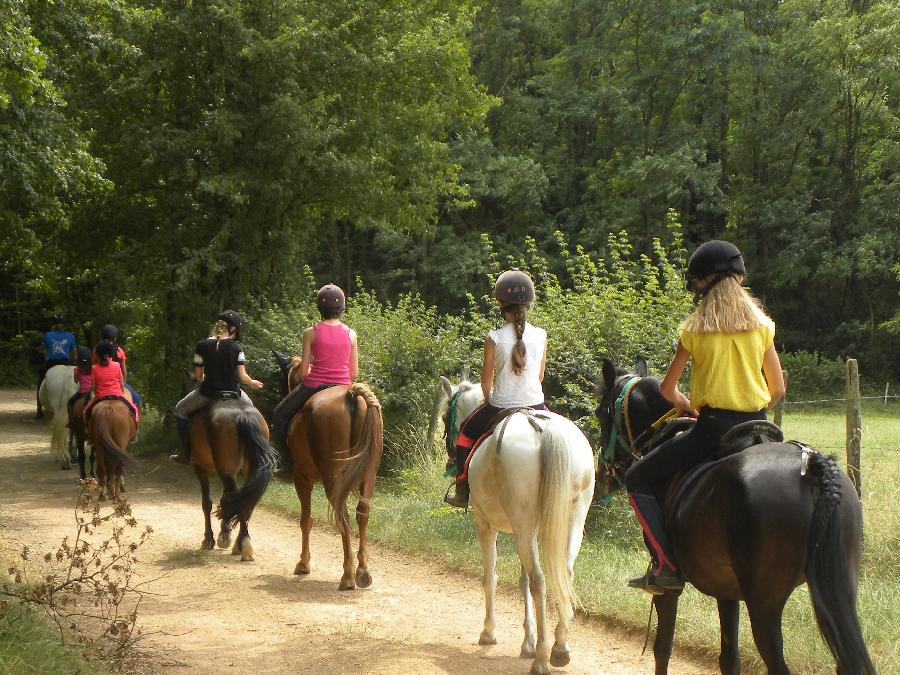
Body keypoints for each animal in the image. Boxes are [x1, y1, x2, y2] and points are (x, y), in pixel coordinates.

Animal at [188, 398, 276, 564]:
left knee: (235, 500)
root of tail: (242, 415)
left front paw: (209, 540)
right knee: (243, 502)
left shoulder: (201, 469)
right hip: (249, 471)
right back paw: (242, 544)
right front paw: (225, 533)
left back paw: (244, 546)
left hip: (224, 470)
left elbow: (206, 504)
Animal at [270, 354, 384, 592]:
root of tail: (350, 394)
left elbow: (305, 520)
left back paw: (348, 576)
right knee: (362, 514)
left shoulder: (302, 479)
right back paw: (362, 572)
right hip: (368, 476)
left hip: (333, 479)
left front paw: (303, 564)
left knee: (344, 517)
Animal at [430, 378, 596, 672]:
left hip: (522, 526)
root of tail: (545, 431)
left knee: (540, 580)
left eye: (444, 415)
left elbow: (490, 578)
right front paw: (528, 641)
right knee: (564, 573)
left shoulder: (484, 524)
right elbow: (522, 581)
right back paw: (560, 648)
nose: (448, 458)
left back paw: (542, 658)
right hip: (571, 520)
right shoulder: (528, 530)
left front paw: (489, 633)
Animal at [596, 356, 876, 672]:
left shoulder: (667, 586)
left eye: (600, 413)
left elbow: (663, 647)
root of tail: (812, 467)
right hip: (837, 590)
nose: (603, 471)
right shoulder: (727, 588)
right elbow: (729, 657)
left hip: (765, 603)